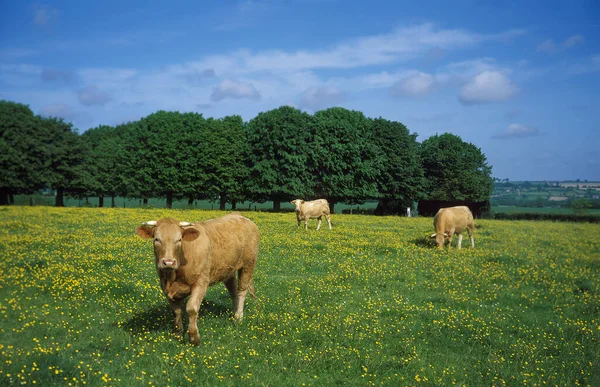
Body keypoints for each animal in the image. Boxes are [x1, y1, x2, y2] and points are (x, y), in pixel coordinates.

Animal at [136, 214, 260, 348]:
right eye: (157, 239)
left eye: (179, 240)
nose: (168, 262)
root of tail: (240, 216)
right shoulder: (165, 286)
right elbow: (176, 311)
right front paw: (177, 334)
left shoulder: (201, 282)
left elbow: (191, 308)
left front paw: (194, 338)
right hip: (228, 270)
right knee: (233, 292)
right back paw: (234, 312)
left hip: (248, 264)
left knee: (242, 291)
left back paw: (238, 317)